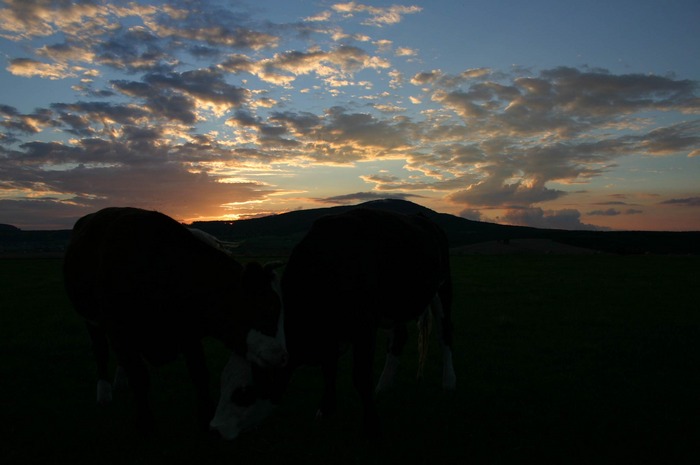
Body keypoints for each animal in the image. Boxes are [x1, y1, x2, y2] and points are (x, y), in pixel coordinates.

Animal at [63, 208, 286, 436]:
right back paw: (104, 393)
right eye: (267, 307)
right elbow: (140, 378)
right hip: (91, 320)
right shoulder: (120, 330)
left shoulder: (188, 332)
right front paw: (145, 424)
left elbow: (199, 374)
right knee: (101, 350)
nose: (281, 355)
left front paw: (205, 418)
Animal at [211, 208, 456, 438]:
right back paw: (384, 386)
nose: (215, 430)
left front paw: (372, 427)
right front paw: (326, 410)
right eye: (222, 382)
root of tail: (421, 216)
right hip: (396, 307)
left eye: (244, 393)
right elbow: (328, 369)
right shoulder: (331, 336)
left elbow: (361, 377)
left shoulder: (364, 327)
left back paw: (448, 382)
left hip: (443, 286)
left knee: (445, 333)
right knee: (398, 340)